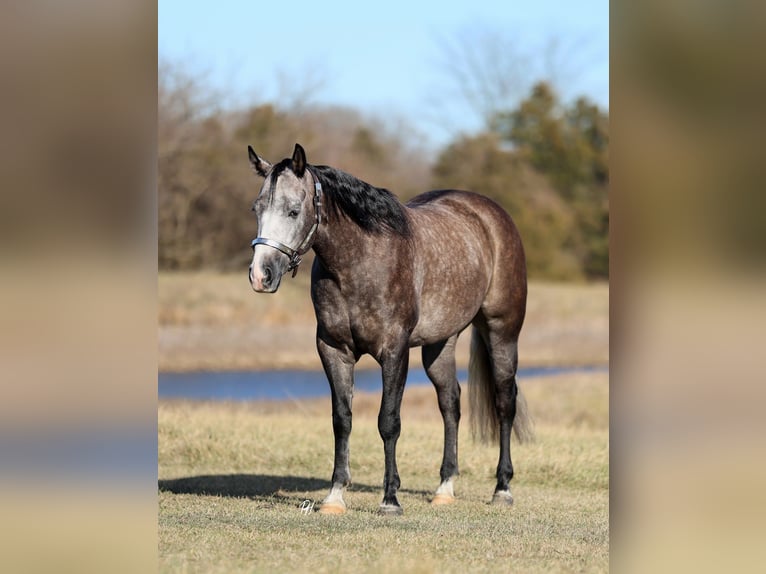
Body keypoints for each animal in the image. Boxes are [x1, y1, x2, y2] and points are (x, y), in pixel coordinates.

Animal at [247, 143, 533, 515]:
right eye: (257, 209)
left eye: (293, 211)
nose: (260, 276)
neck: (362, 261)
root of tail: (491, 214)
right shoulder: (333, 349)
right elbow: (342, 420)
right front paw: (334, 496)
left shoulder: (394, 351)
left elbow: (388, 422)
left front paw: (390, 499)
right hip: (440, 343)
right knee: (450, 402)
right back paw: (444, 487)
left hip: (502, 331)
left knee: (504, 402)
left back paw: (502, 488)